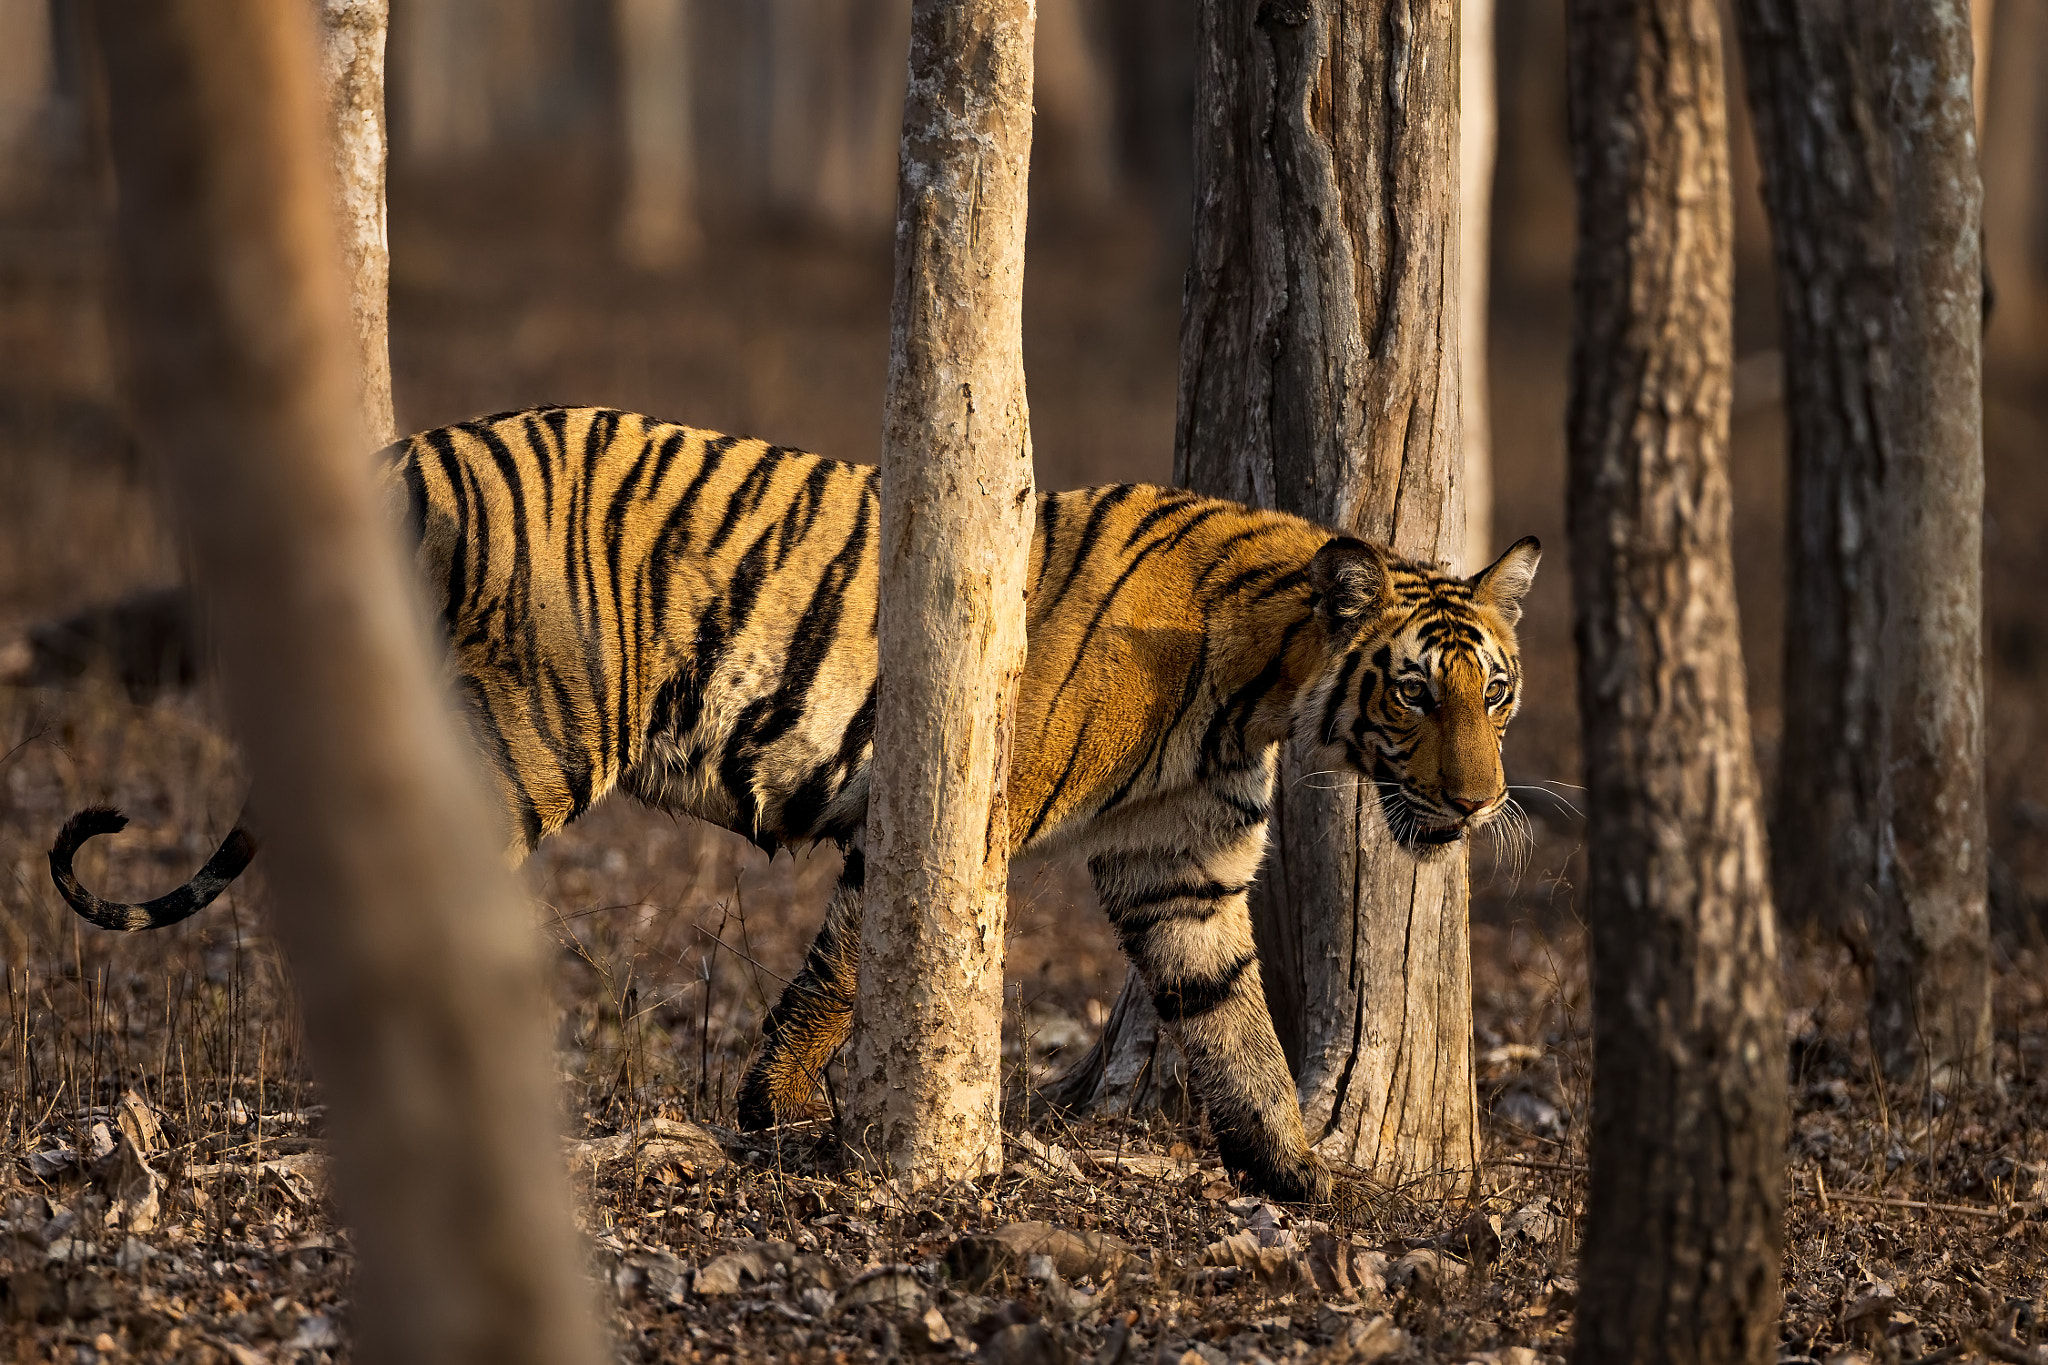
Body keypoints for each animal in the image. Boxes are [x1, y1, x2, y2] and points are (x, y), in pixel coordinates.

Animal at [48, 401, 1540, 1203]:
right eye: (1415, 693)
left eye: (1498, 693)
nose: (1476, 809)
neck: (1268, 692)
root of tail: (403, 454)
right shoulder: (950, 813)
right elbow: (845, 964)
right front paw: (778, 1108)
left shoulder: (1181, 872)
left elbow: (1233, 1025)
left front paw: (1301, 1180)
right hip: (539, 736)